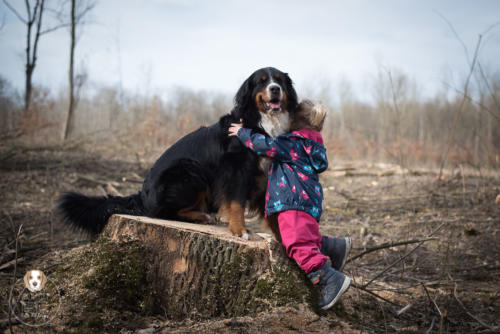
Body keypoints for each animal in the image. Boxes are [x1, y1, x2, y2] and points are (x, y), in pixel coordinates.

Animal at [55, 66, 296, 239]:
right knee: (164, 212)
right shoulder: (235, 169)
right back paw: (202, 216)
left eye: (279, 80)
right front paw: (240, 230)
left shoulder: (261, 172)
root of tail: (142, 195)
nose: (275, 89)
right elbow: (236, 202)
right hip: (189, 170)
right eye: (262, 82)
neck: (261, 122)